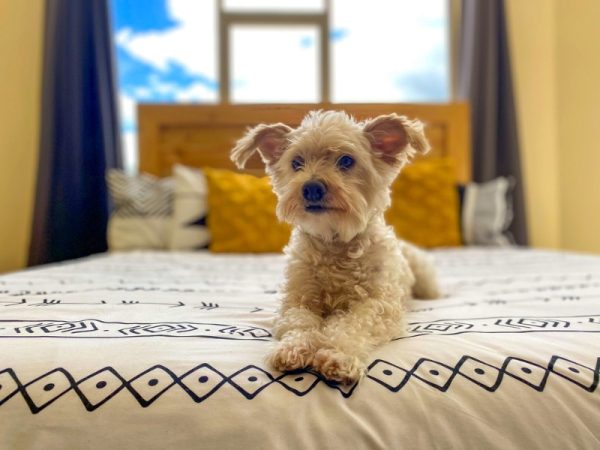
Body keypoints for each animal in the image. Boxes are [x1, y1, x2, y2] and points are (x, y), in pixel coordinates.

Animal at [230, 110, 440, 384]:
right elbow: (300, 323)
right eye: (296, 162)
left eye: (346, 161)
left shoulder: (378, 305)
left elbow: (352, 325)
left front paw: (337, 355)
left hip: (425, 280)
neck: (334, 242)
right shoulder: (296, 300)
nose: (311, 187)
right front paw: (292, 347)